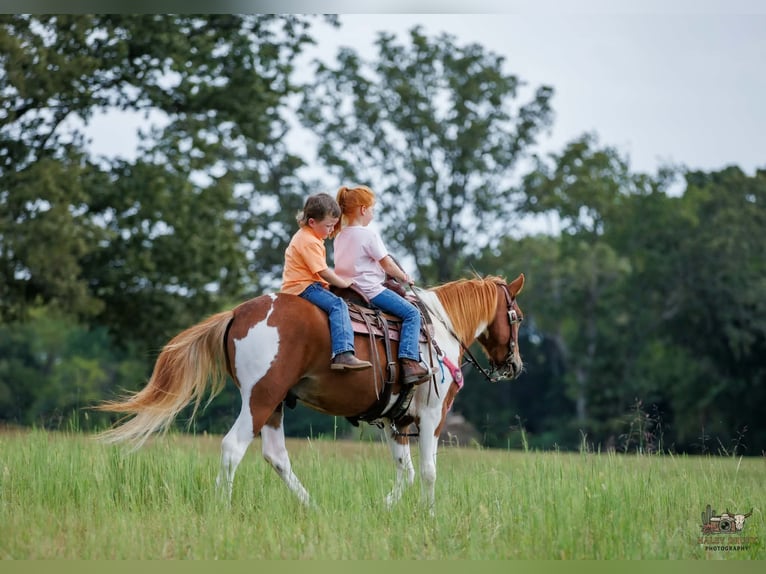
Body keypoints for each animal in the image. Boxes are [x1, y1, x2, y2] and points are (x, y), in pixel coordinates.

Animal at [95, 273, 525, 511]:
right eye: (517, 317)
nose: (515, 366)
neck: (437, 328)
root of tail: (238, 312)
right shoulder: (433, 416)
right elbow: (430, 471)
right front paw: (429, 516)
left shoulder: (395, 422)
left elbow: (405, 472)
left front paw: (385, 508)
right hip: (260, 398)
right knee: (233, 447)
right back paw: (223, 507)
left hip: (273, 405)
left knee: (276, 456)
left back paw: (312, 506)